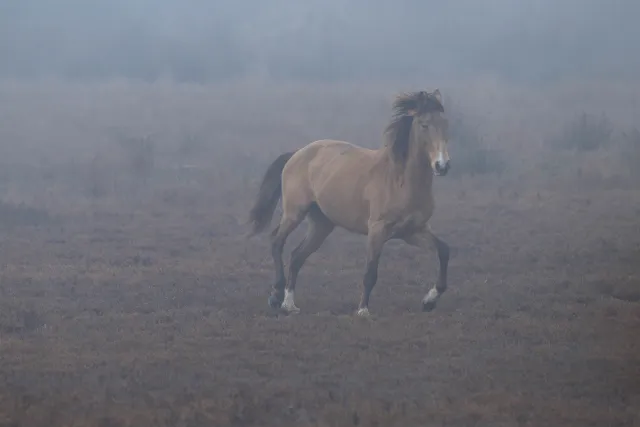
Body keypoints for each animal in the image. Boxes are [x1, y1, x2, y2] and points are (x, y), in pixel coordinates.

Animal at [245, 89, 450, 318]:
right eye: (424, 124)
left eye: (445, 124)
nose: (442, 165)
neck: (401, 181)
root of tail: (297, 153)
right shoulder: (378, 230)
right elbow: (370, 272)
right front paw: (362, 311)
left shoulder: (412, 231)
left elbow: (444, 250)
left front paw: (429, 300)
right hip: (294, 212)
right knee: (276, 241)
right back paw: (276, 295)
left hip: (322, 224)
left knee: (297, 256)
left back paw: (289, 304)